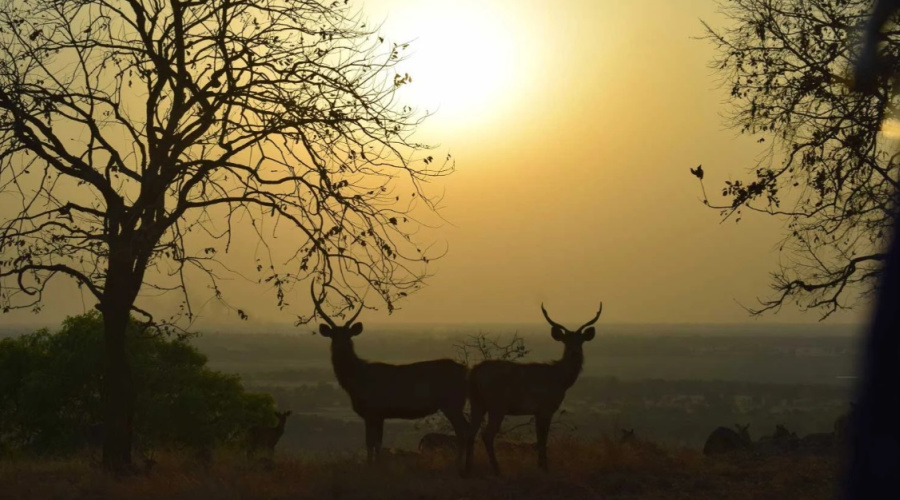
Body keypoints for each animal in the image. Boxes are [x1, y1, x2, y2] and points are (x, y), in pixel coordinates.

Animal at [312, 286, 472, 472]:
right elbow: (377, 443)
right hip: (454, 404)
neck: (356, 380)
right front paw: (376, 464)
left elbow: (371, 443)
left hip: (452, 403)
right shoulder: (379, 413)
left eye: (348, 336)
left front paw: (371, 467)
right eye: (333, 336)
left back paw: (459, 465)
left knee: (464, 431)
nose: (340, 347)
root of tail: (466, 371)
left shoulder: (372, 410)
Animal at [464, 302, 604, 474]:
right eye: (566, 341)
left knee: (471, 433)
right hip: (497, 405)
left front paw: (540, 466)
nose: (574, 352)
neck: (560, 380)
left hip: (477, 402)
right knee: (487, 434)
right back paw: (497, 470)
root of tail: (473, 373)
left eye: (581, 340)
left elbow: (539, 440)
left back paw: (467, 470)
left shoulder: (537, 412)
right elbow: (543, 441)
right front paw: (545, 469)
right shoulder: (546, 408)